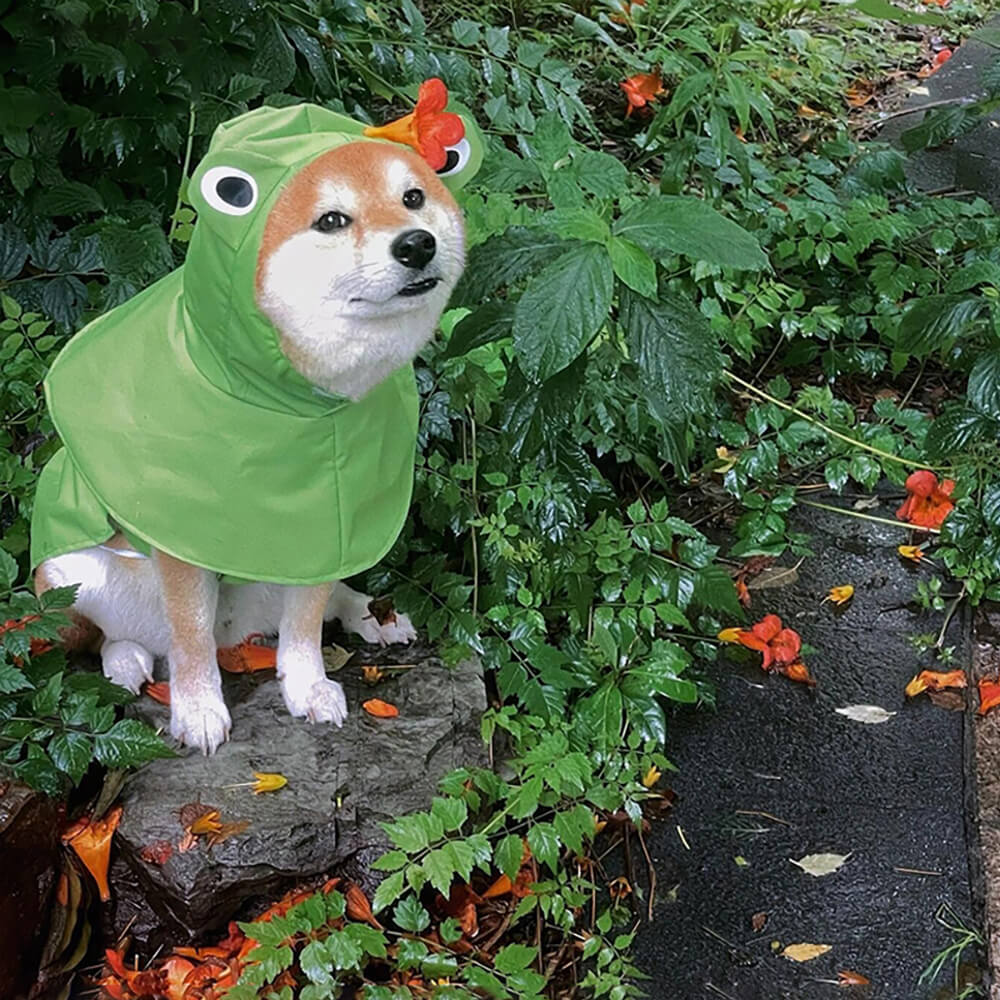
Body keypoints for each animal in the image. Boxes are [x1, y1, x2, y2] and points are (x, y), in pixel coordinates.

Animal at [29, 88, 482, 756]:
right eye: (332, 221)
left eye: (413, 198)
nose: (417, 243)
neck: (296, 406)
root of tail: (236, 634)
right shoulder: (183, 532)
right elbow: (189, 637)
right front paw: (197, 708)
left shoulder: (324, 523)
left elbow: (305, 626)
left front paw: (308, 685)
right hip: (77, 573)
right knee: (118, 636)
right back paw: (127, 663)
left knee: (322, 604)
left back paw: (370, 613)